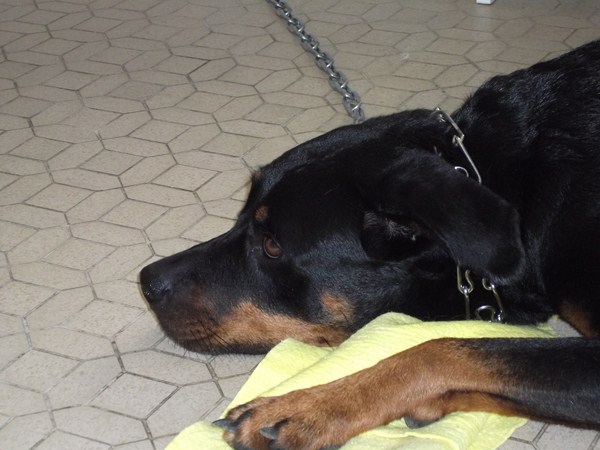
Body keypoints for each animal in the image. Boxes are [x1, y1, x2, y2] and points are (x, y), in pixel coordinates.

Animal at [140, 39, 600, 449]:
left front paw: (306, 408)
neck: (507, 182)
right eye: (243, 212)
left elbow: (440, 349)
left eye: (271, 246)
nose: (147, 282)